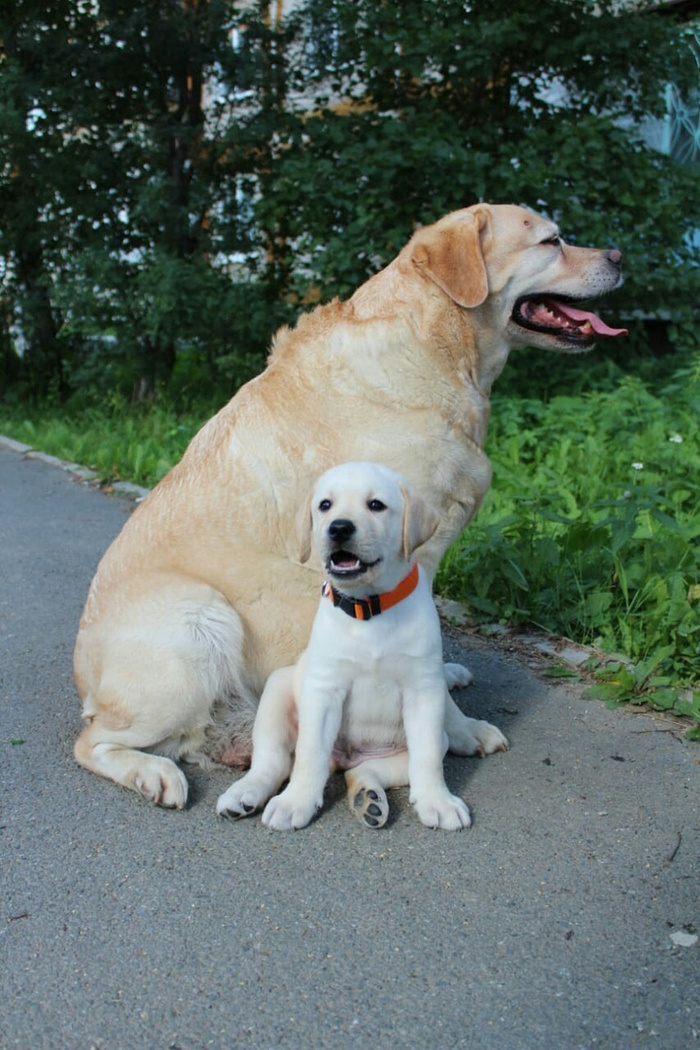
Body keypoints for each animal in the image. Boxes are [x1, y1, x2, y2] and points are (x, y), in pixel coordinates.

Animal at [216, 462, 507, 830]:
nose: (339, 528)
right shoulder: (324, 689)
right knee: (276, 760)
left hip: (402, 749)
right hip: (277, 692)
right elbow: (310, 754)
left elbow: (427, 757)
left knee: (365, 770)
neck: (369, 609)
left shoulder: (424, 690)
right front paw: (297, 802)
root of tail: (343, 759)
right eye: (325, 505)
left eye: (376, 505)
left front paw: (437, 802)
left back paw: (367, 798)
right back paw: (246, 794)